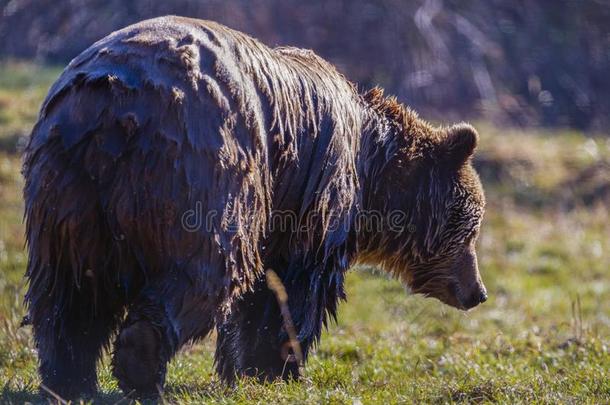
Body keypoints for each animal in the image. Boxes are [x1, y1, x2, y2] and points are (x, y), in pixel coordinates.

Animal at [23, 15, 486, 398]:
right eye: (471, 229)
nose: (477, 292)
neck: (372, 167)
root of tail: (113, 109)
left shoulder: (282, 202)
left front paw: (243, 368)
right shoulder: (314, 196)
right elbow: (294, 287)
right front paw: (279, 366)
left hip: (66, 190)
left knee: (68, 292)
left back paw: (69, 378)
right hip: (200, 168)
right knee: (206, 268)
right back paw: (140, 364)